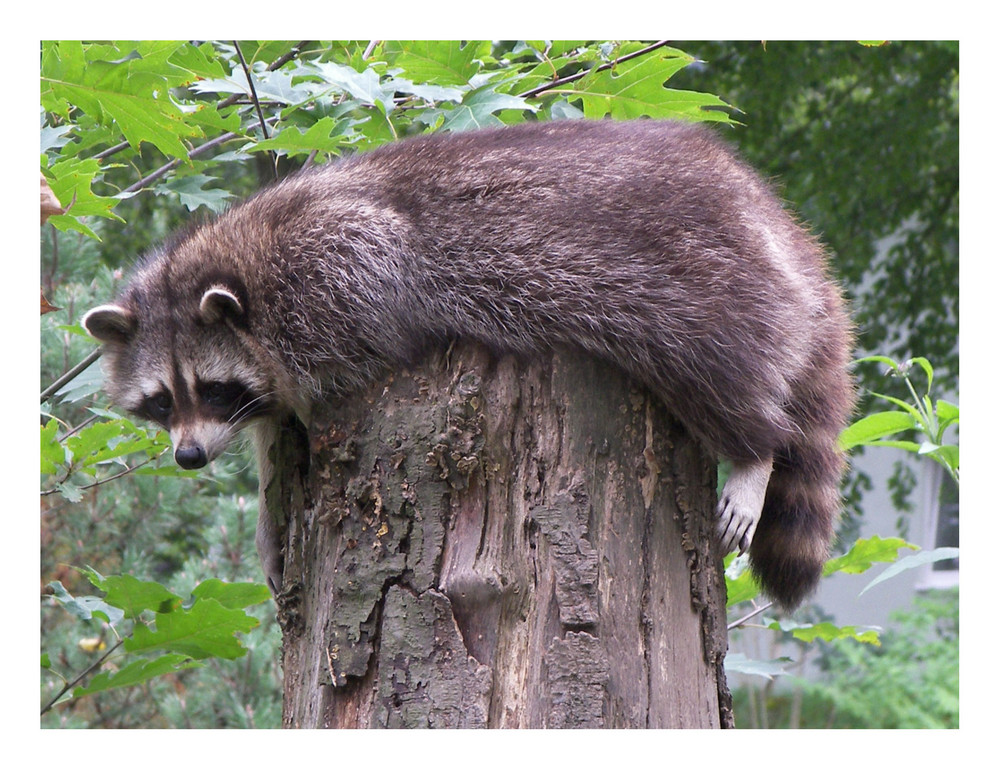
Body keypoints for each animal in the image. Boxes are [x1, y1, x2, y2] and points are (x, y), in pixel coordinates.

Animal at [82, 118, 856, 608]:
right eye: (162, 401)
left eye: (212, 389)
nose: (188, 457)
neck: (237, 268)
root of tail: (773, 216)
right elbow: (275, 436)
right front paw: (272, 507)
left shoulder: (343, 264)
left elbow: (348, 347)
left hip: (700, 278)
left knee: (713, 369)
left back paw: (754, 451)